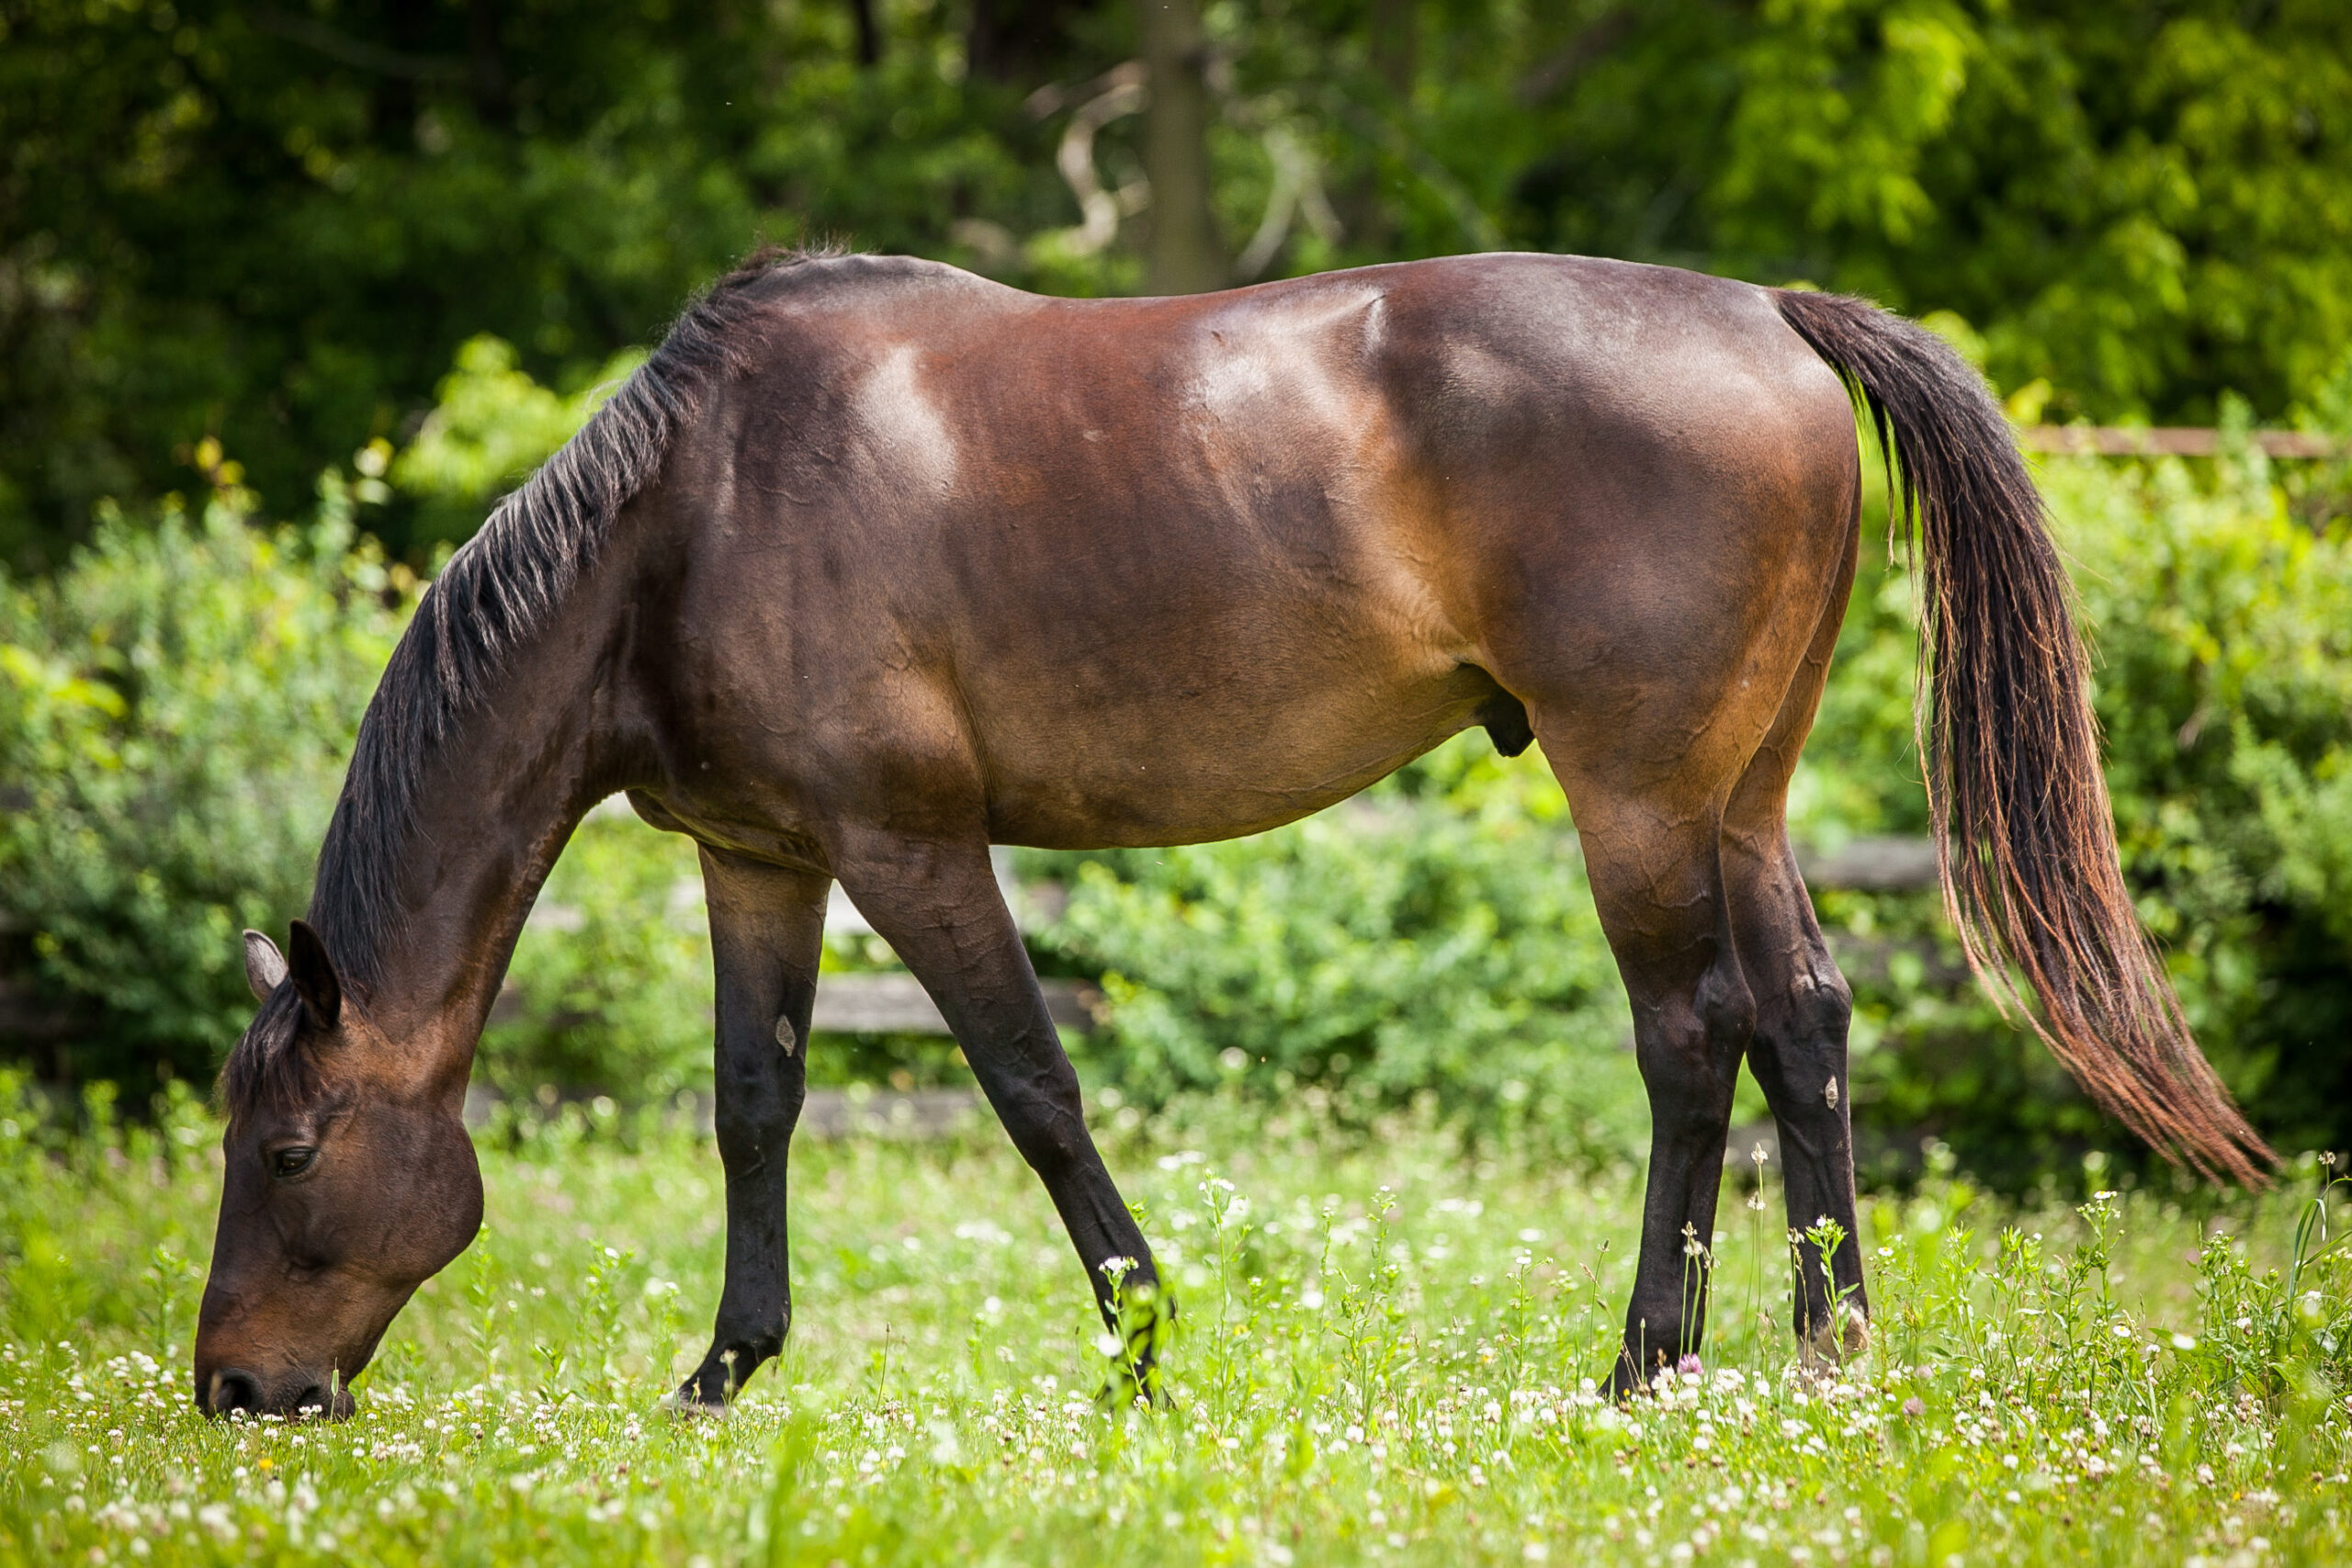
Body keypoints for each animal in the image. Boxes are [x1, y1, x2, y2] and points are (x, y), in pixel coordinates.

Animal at [192, 247, 2267, 1419]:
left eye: (288, 1151)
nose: (237, 1388)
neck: (689, 515)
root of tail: (1767, 313)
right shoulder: (761, 858)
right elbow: (755, 1103)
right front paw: (724, 1372)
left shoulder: (908, 845)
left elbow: (1031, 1085)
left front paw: (1139, 1346)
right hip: (1736, 801)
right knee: (1812, 1022)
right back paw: (1825, 1352)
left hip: (1634, 799)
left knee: (1695, 1041)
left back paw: (1645, 1362)